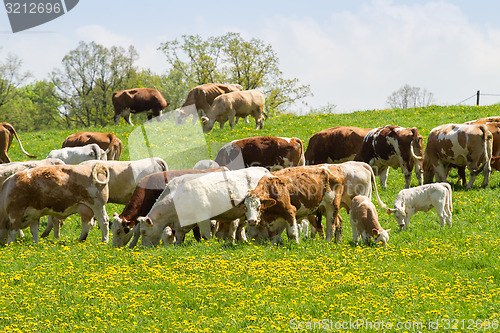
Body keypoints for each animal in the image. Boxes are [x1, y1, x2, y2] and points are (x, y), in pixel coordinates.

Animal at [137, 167, 270, 245]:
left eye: (143, 231)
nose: (143, 247)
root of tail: (264, 170)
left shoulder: (203, 218)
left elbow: (206, 235)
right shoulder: (180, 224)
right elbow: (179, 237)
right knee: (240, 228)